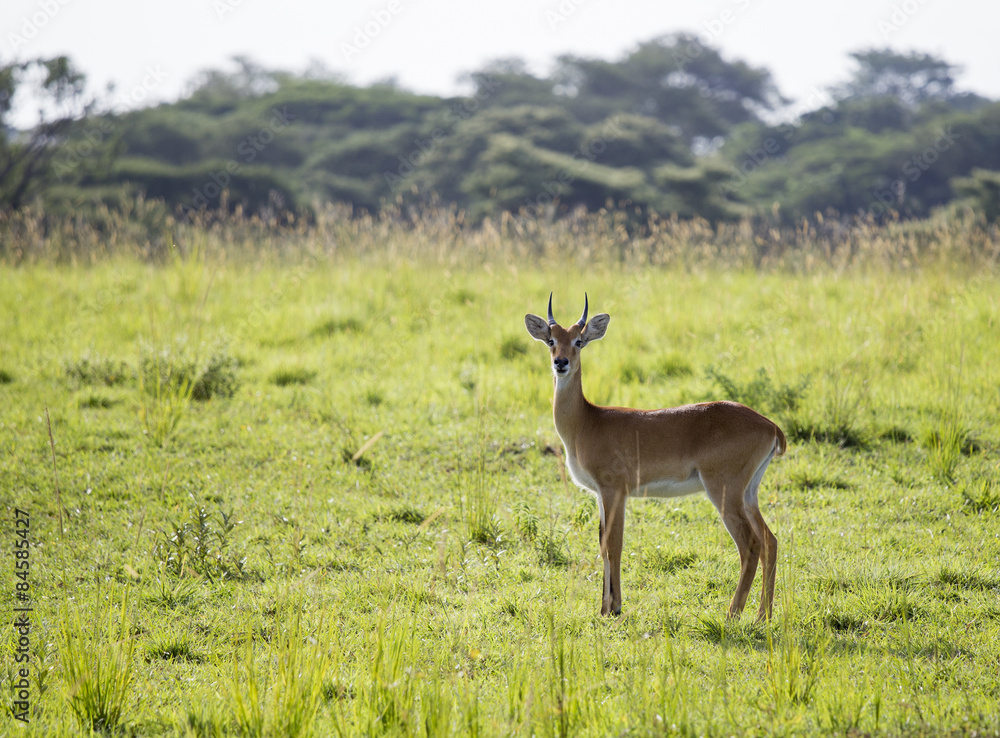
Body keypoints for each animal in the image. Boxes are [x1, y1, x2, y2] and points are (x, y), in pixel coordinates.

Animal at [525, 294, 786, 621]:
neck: (587, 421)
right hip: (749, 493)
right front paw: (605, 607)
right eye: (551, 340)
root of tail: (770, 425)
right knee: (770, 541)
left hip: (724, 491)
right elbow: (603, 544)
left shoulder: (614, 491)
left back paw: (732, 614)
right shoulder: (599, 494)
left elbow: (613, 545)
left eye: (579, 341)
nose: (561, 363)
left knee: (750, 544)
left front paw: (613, 608)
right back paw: (764, 614)